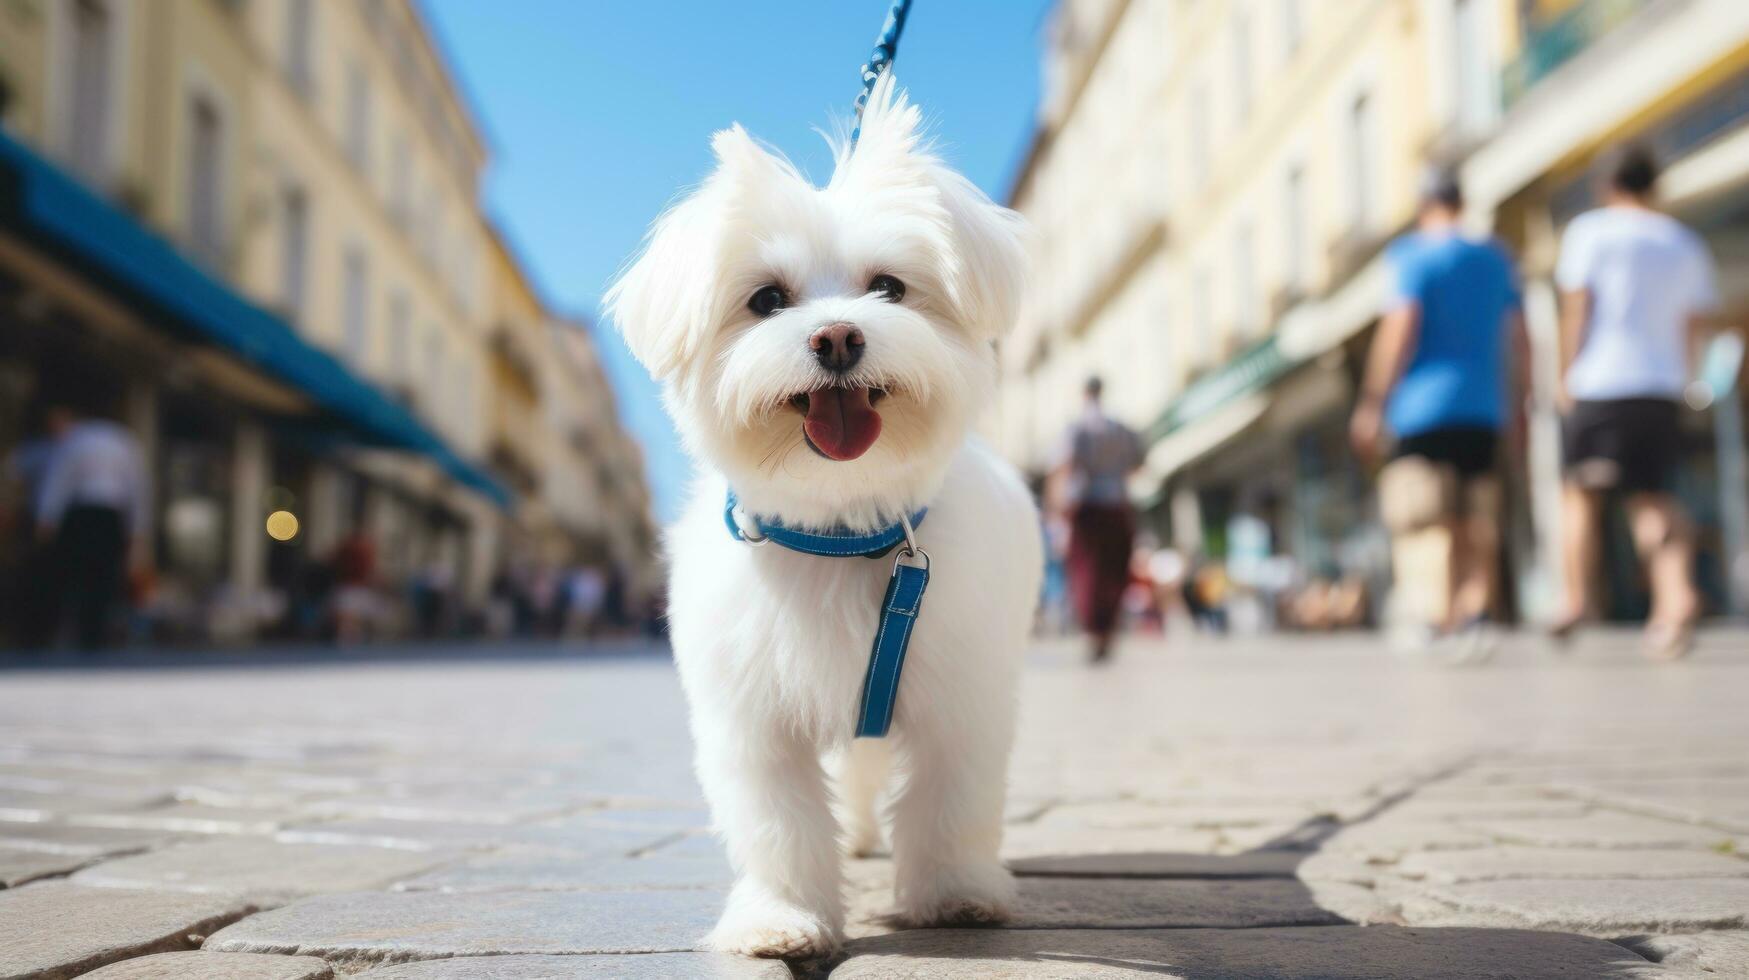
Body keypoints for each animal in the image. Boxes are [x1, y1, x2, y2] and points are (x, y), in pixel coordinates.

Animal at [608, 74, 1035, 959]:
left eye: (889, 288)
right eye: (767, 299)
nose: (837, 336)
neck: (839, 532)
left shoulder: (962, 692)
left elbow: (950, 799)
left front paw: (953, 894)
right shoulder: (752, 713)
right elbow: (778, 822)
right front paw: (782, 917)